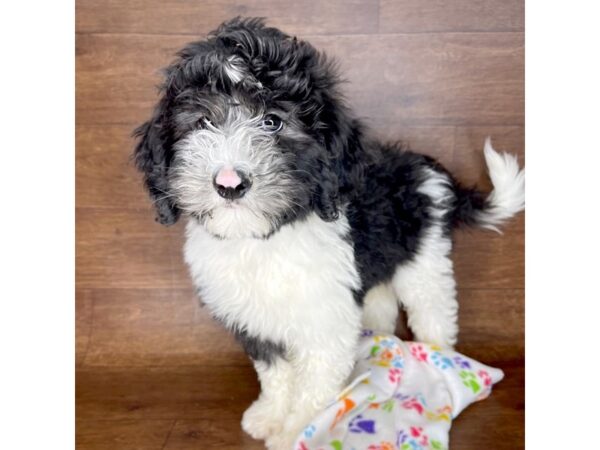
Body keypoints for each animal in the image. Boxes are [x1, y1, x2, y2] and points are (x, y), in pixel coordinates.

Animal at [132, 17, 524, 450]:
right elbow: (275, 374)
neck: (264, 239)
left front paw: (299, 429)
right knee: (382, 303)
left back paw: (443, 359)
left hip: (425, 261)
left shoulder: (325, 322)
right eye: (202, 122)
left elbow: (315, 382)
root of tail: (428, 169)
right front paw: (270, 416)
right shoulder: (255, 318)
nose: (229, 183)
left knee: (434, 312)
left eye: (273, 121)